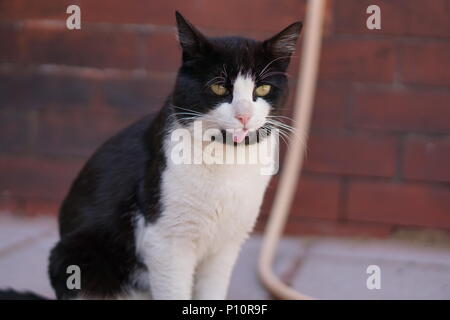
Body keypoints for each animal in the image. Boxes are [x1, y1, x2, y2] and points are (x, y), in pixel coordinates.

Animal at [48, 10, 302, 300]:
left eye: (262, 89)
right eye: (218, 88)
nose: (244, 116)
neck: (228, 161)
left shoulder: (227, 244)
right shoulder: (165, 241)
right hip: (75, 256)